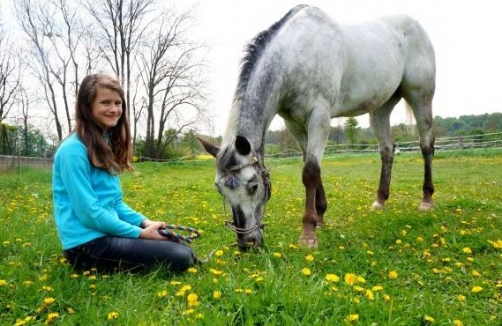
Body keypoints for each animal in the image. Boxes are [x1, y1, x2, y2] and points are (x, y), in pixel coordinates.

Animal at [199, 3, 436, 250]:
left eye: (253, 186)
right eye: (219, 189)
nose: (247, 243)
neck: (294, 55)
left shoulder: (319, 116)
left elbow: (310, 171)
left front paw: (308, 233)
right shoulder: (294, 125)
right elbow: (310, 165)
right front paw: (320, 216)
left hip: (420, 97)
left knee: (426, 144)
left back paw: (426, 199)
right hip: (380, 108)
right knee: (387, 150)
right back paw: (380, 200)